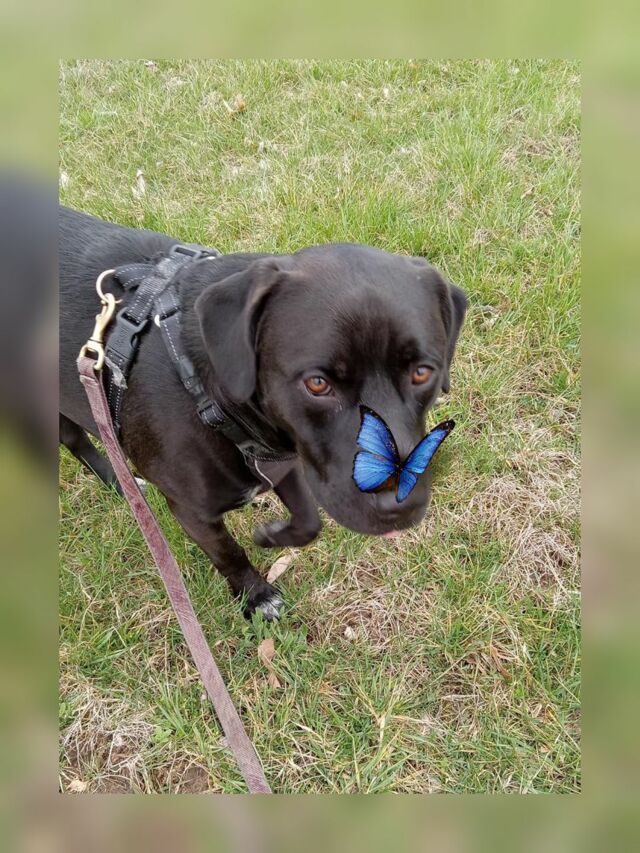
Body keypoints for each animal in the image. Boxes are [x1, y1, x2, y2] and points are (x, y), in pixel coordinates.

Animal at [59, 207, 466, 619]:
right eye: (317, 383)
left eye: (422, 373)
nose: (402, 504)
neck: (205, 393)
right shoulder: (193, 511)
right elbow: (229, 554)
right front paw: (256, 596)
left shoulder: (285, 459)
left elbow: (308, 519)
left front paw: (273, 536)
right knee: (76, 441)